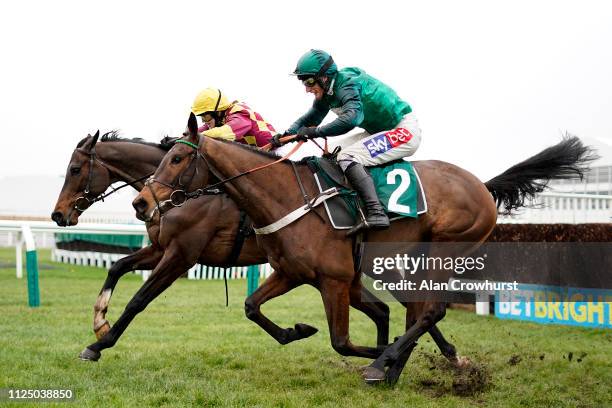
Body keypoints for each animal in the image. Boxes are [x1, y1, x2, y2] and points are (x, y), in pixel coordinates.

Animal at [52, 130, 408, 360]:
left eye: (75, 169)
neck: (187, 196)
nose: (58, 214)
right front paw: (99, 323)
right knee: (381, 310)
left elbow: (139, 299)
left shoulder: (181, 255)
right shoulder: (160, 249)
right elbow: (118, 266)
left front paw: (99, 345)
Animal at [133, 114, 592, 386]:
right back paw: (398, 365)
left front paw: (375, 356)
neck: (287, 198)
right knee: (416, 310)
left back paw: (386, 365)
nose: (142, 202)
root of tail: (481, 185)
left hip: (444, 249)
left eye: (177, 158)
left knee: (429, 310)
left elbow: (340, 341)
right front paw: (297, 330)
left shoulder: (333, 281)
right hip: (407, 260)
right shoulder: (290, 272)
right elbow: (251, 307)